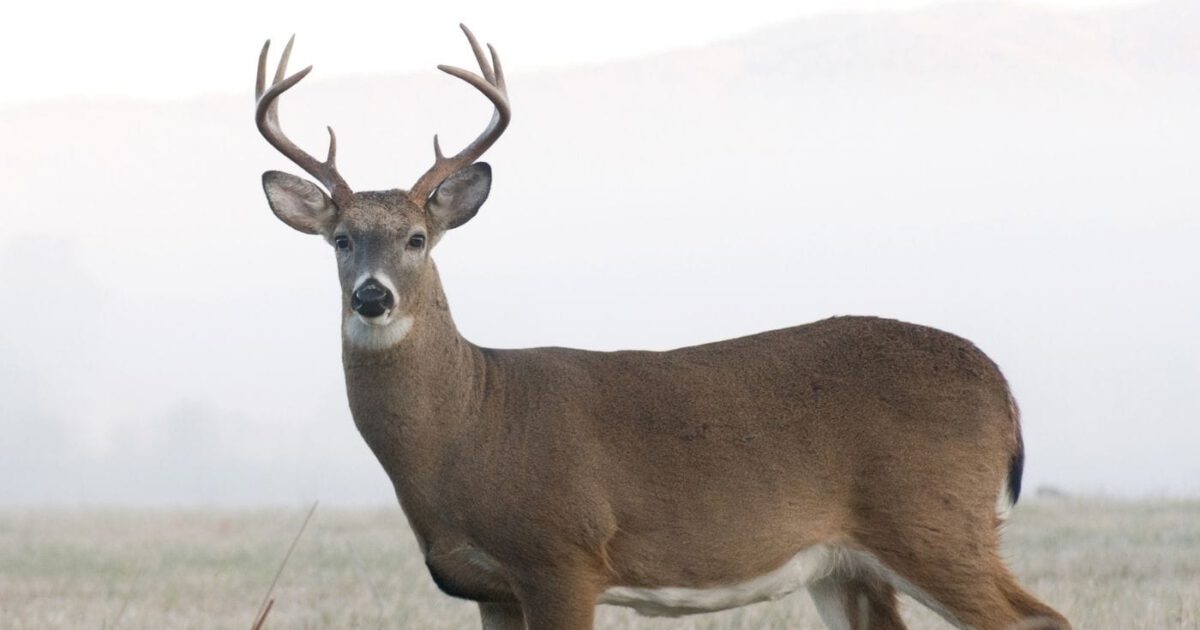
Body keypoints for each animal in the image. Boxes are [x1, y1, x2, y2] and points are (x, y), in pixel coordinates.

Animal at [253, 25, 1070, 630]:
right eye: (340, 240)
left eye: (419, 239)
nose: (372, 297)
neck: (469, 424)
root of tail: (1003, 392)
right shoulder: (489, 586)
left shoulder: (562, 555)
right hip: (852, 563)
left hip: (933, 520)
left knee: (1038, 620)